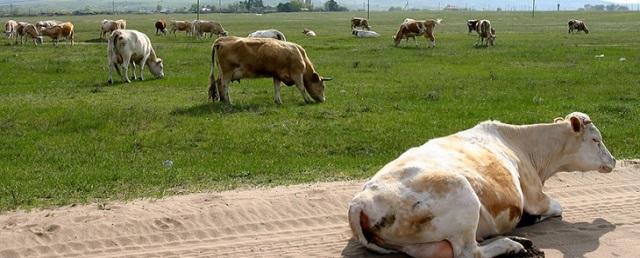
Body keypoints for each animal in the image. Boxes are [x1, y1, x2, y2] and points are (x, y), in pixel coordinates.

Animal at [348, 112, 616, 258]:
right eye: (596, 140)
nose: (613, 160)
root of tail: (360, 201)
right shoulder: (535, 197)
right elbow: (558, 207)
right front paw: (531, 219)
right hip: (463, 197)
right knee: (469, 252)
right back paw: (512, 244)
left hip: (418, 245)